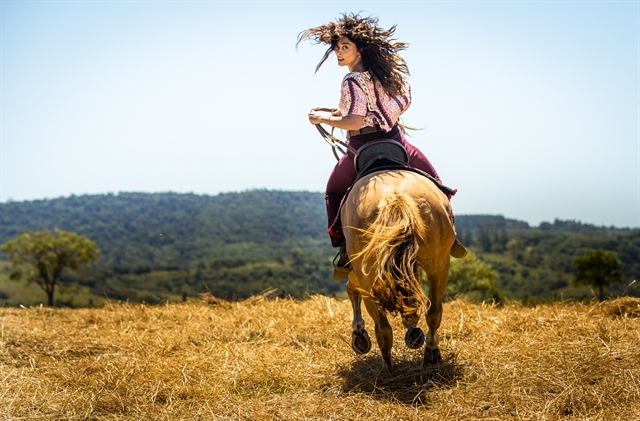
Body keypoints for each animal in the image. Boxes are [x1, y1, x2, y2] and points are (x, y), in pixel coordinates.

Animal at [340, 167, 456, 370]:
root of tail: (395, 197)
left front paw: (359, 331)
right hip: (439, 263)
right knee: (434, 312)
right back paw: (431, 352)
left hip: (366, 272)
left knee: (381, 324)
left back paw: (384, 362)